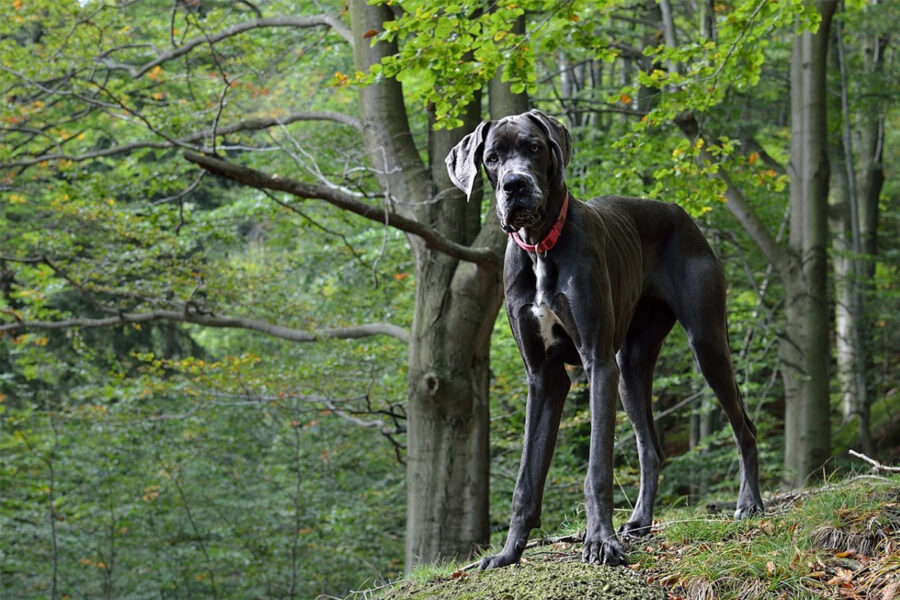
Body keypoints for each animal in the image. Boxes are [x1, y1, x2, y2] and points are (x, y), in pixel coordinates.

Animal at [446, 110, 764, 568]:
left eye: (534, 148)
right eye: (492, 158)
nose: (515, 185)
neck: (541, 247)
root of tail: (681, 213)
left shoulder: (597, 362)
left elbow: (597, 468)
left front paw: (600, 541)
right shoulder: (544, 378)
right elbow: (526, 478)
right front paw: (508, 552)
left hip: (705, 343)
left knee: (744, 428)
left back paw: (749, 503)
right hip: (630, 368)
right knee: (651, 449)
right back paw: (641, 521)